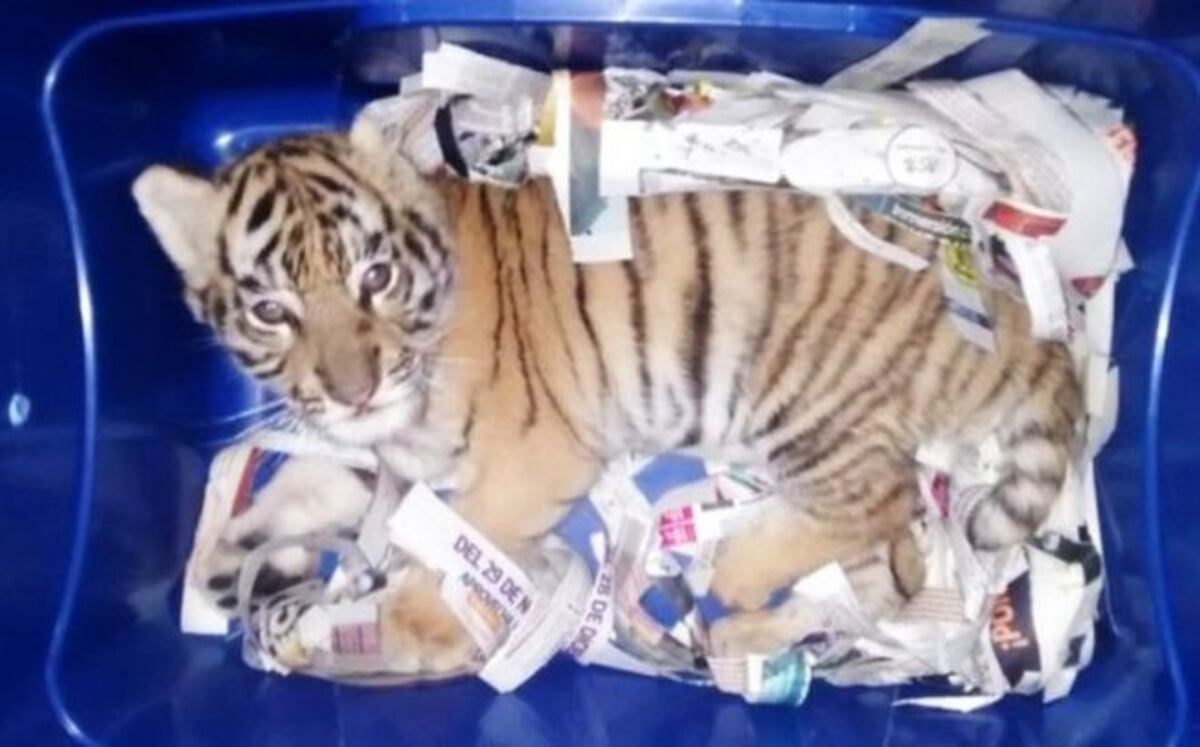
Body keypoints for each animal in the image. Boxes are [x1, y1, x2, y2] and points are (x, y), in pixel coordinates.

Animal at [132, 116, 1082, 675]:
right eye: (271, 310)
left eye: (375, 276)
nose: (355, 389)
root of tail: (1014, 311)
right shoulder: (389, 459)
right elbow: (296, 494)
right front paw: (236, 567)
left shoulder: (528, 457)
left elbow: (461, 549)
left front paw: (399, 628)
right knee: (885, 576)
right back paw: (745, 640)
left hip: (806, 400)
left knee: (876, 499)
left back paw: (735, 574)